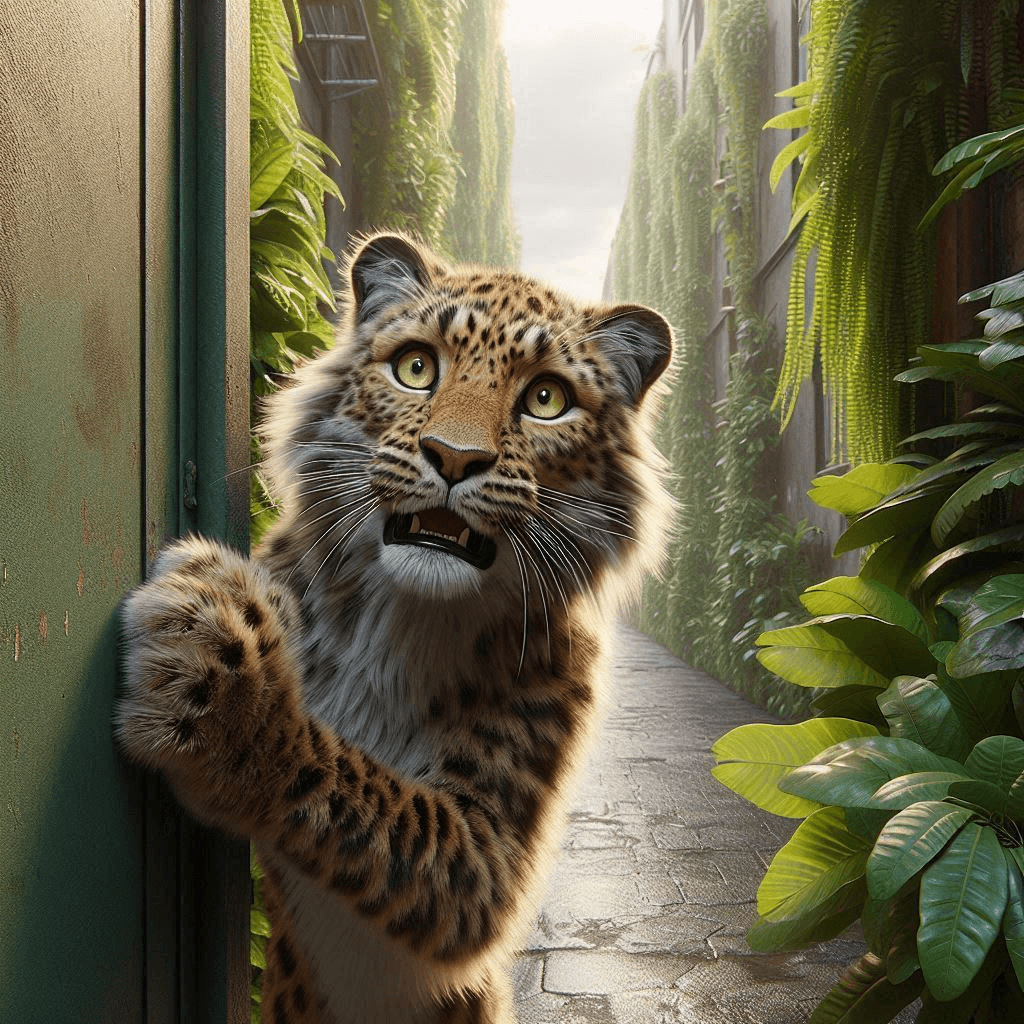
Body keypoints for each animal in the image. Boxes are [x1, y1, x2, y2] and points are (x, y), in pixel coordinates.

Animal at [115, 232, 674, 1023]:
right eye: (416, 367)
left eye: (546, 399)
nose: (455, 458)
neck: (403, 622)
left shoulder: (486, 859)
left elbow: (368, 792)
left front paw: (222, 688)